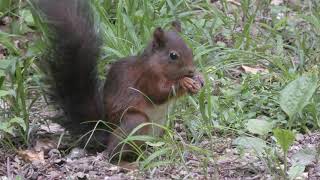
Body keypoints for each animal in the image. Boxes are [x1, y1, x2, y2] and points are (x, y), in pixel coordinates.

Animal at [37, 0, 202, 159]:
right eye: (173, 55)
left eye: (190, 49)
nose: (191, 70)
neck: (157, 64)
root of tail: (104, 133)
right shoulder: (147, 77)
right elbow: (157, 94)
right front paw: (184, 82)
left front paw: (199, 79)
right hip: (135, 122)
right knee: (113, 150)